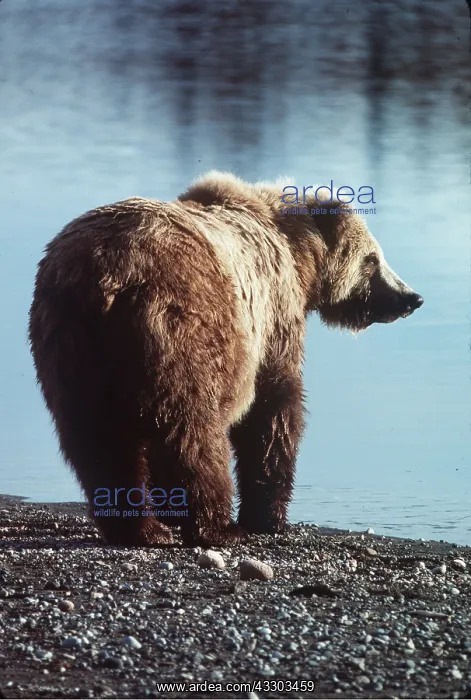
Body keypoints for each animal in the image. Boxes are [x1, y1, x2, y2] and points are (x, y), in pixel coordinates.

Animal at [29, 172, 423, 547]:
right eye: (373, 259)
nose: (410, 297)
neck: (299, 258)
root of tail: (109, 274)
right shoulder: (271, 319)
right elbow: (273, 409)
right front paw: (268, 516)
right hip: (183, 326)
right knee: (192, 432)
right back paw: (216, 525)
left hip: (72, 346)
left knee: (97, 440)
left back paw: (141, 528)